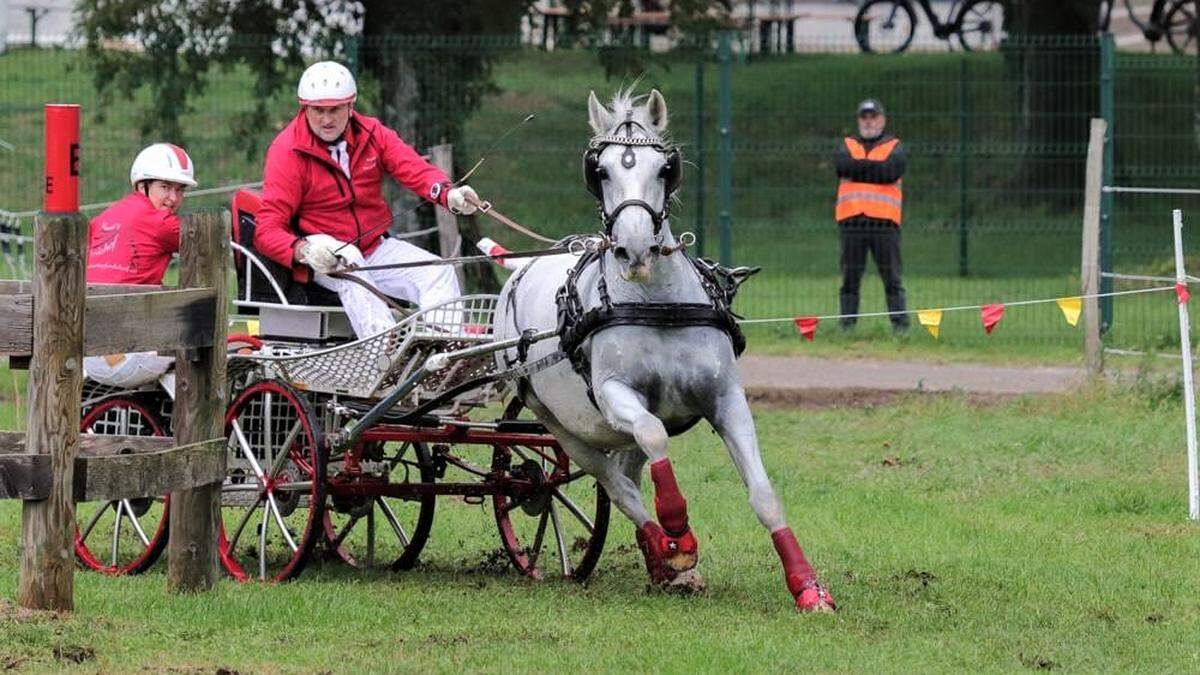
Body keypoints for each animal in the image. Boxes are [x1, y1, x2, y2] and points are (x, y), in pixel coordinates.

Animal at [492, 86, 830, 607]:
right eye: (600, 171)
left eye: (664, 168)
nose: (635, 250)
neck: (657, 303)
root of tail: (520, 269)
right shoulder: (615, 395)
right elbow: (654, 437)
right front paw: (678, 529)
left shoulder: (726, 399)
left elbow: (764, 495)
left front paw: (808, 588)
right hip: (556, 423)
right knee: (615, 485)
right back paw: (665, 546)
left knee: (629, 472)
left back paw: (662, 563)